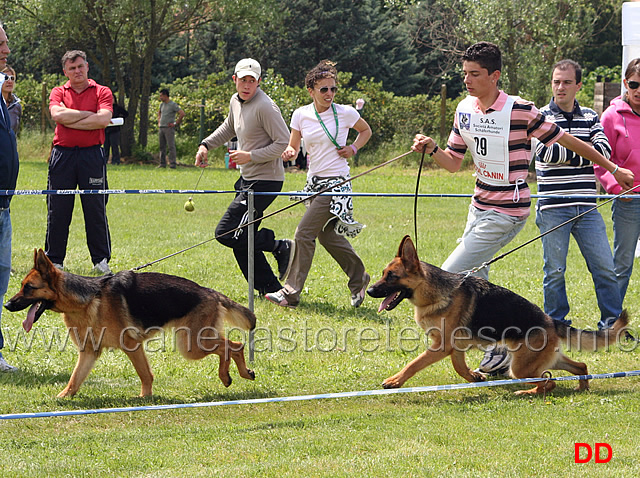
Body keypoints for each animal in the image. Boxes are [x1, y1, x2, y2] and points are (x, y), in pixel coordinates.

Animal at [3, 248, 258, 398]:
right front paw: (64, 397)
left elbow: (145, 374)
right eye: (21, 286)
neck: (88, 299)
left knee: (234, 345)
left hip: (191, 345)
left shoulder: (132, 346)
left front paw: (145, 399)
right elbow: (75, 378)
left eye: (29, 288)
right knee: (230, 346)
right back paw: (234, 375)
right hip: (194, 342)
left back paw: (233, 374)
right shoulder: (89, 352)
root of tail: (210, 292)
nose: (6, 305)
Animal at [368, 236, 628, 396]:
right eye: (383, 274)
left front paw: (395, 381)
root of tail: (550, 320)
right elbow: (459, 367)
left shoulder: (441, 346)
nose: (369, 290)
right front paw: (474, 377)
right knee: (579, 366)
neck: (435, 292)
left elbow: (414, 363)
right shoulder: (455, 348)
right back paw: (582, 387)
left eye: (391, 277)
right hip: (541, 360)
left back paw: (527, 392)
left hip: (521, 369)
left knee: (550, 381)